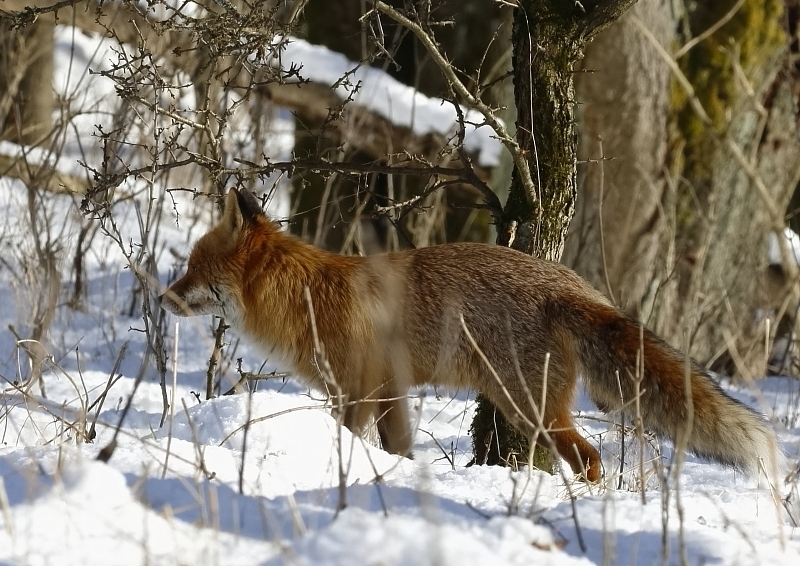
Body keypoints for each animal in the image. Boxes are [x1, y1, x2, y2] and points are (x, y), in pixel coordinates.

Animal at [159, 192, 780, 484]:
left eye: (193, 269)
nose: (163, 297)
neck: (309, 296)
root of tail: (574, 284)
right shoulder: (392, 393)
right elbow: (399, 448)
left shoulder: (356, 392)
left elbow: (350, 439)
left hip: (531, 408)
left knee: (590, 457)